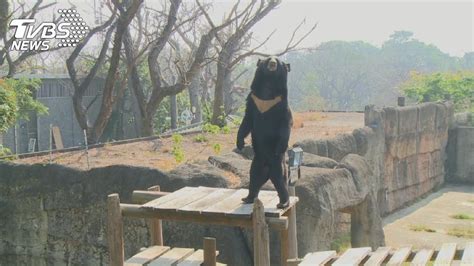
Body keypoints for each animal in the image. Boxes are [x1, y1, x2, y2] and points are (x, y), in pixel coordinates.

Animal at [235, 56, 290, 209]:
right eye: (268, 59)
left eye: (278, 61)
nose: (272, 63)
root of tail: (267, 168)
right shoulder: (254, 100)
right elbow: (247, 120)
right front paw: (240, 143)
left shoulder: (280, 103)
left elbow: (285, 125)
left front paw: (280, 146)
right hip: (257, 161)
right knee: (254, 176)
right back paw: (248, 198)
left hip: (276, 162)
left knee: (279, 178)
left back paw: (283, 202)